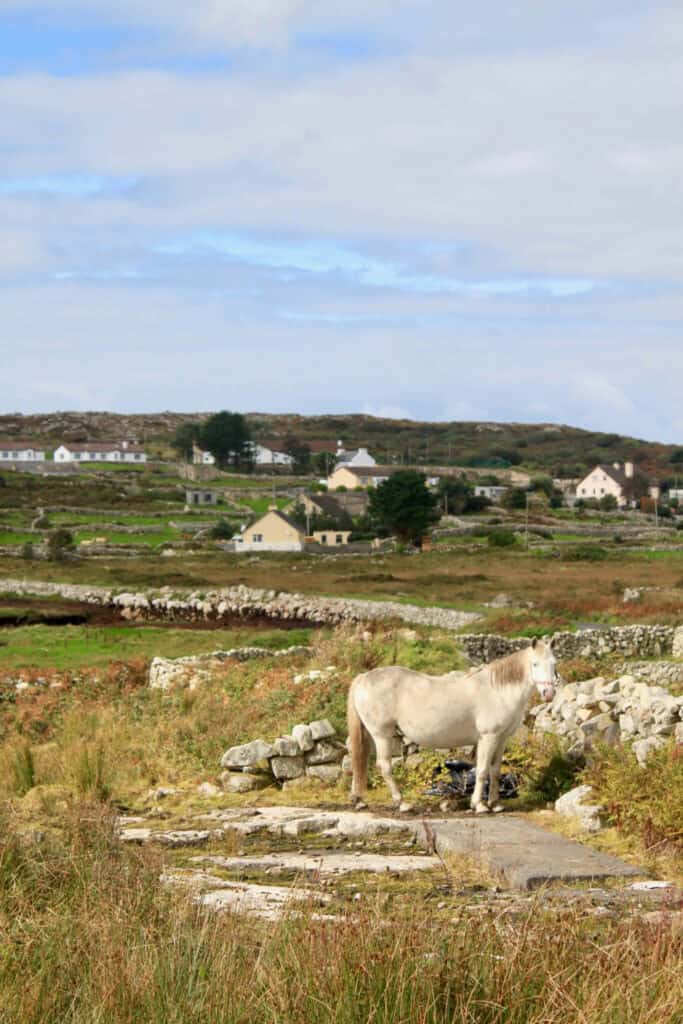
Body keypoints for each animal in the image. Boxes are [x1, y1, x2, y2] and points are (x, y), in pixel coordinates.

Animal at [347, 638, 557, 814]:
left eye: (554, 663)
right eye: (535, 664)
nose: (548, 693)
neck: (498, 691)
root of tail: (363, 678)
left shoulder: (501, 739)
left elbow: (495, 770)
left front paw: (495, 804)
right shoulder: (488, 737)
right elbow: (482, 770)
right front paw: (479, 805)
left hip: (370, 735)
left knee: (360, 761)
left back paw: (359, 800)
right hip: (382, 735)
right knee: (384, 766)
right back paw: (402, 803)